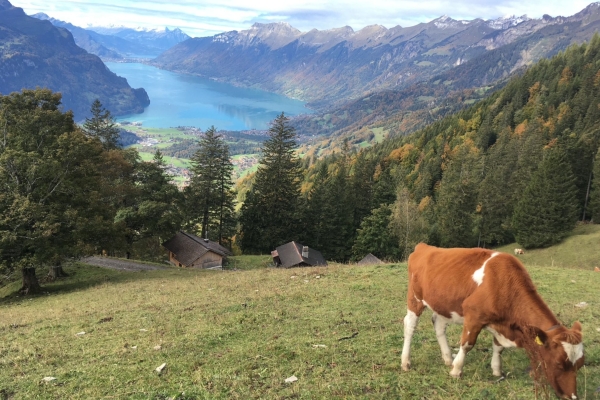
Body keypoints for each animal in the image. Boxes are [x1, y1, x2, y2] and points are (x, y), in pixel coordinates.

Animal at [400, 242, 584, 398]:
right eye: (559, 364)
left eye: (580, 365)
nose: (572, 397)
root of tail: (424, 246)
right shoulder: (473, 316)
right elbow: (467, 344)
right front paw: (457, 370)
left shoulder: (501, 323)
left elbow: (498, 347)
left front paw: (496, 369)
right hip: (415, 298)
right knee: (410, 326)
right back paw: (406, 362)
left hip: (443, 303)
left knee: (438, 325)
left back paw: (447, 358)